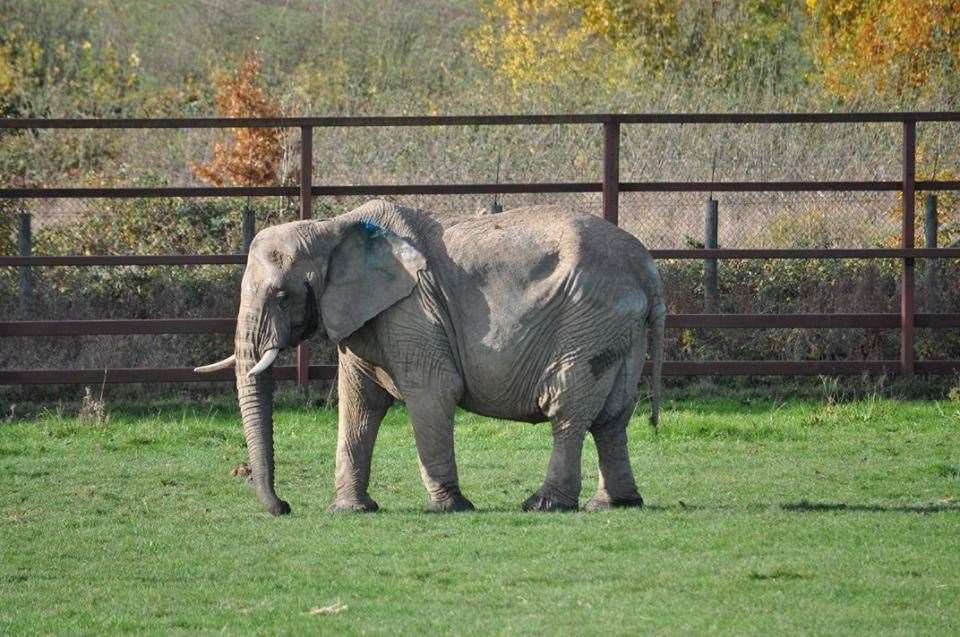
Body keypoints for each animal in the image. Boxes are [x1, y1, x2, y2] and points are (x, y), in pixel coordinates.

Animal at [191, 201, 664, 516]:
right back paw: (615, 504)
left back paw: (543, 505)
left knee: (567, 407)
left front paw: (450, 508)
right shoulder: (363, 316)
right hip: (618, 329)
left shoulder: (412, 309)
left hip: (588, 319)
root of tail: (646, 264)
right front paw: (350, 511)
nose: (284, 507)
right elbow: (359, 405)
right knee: (612, 417)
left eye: (282, 295)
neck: (332, 228)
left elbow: (431, 392)